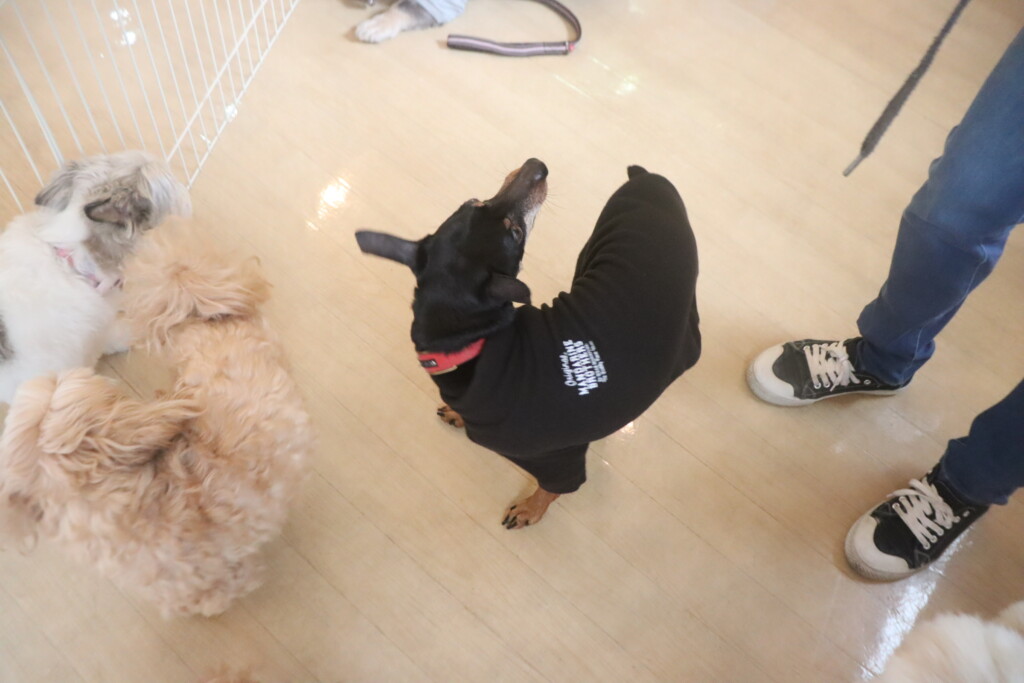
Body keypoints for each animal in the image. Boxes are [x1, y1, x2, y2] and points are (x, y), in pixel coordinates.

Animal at [356, 159, 700, 528]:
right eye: (475, 203)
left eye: (515, 231)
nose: (538, 165)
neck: (474, 345)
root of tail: (649, 178)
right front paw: (456, 414)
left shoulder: (560, 457)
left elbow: (553, 490)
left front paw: (530, 510)